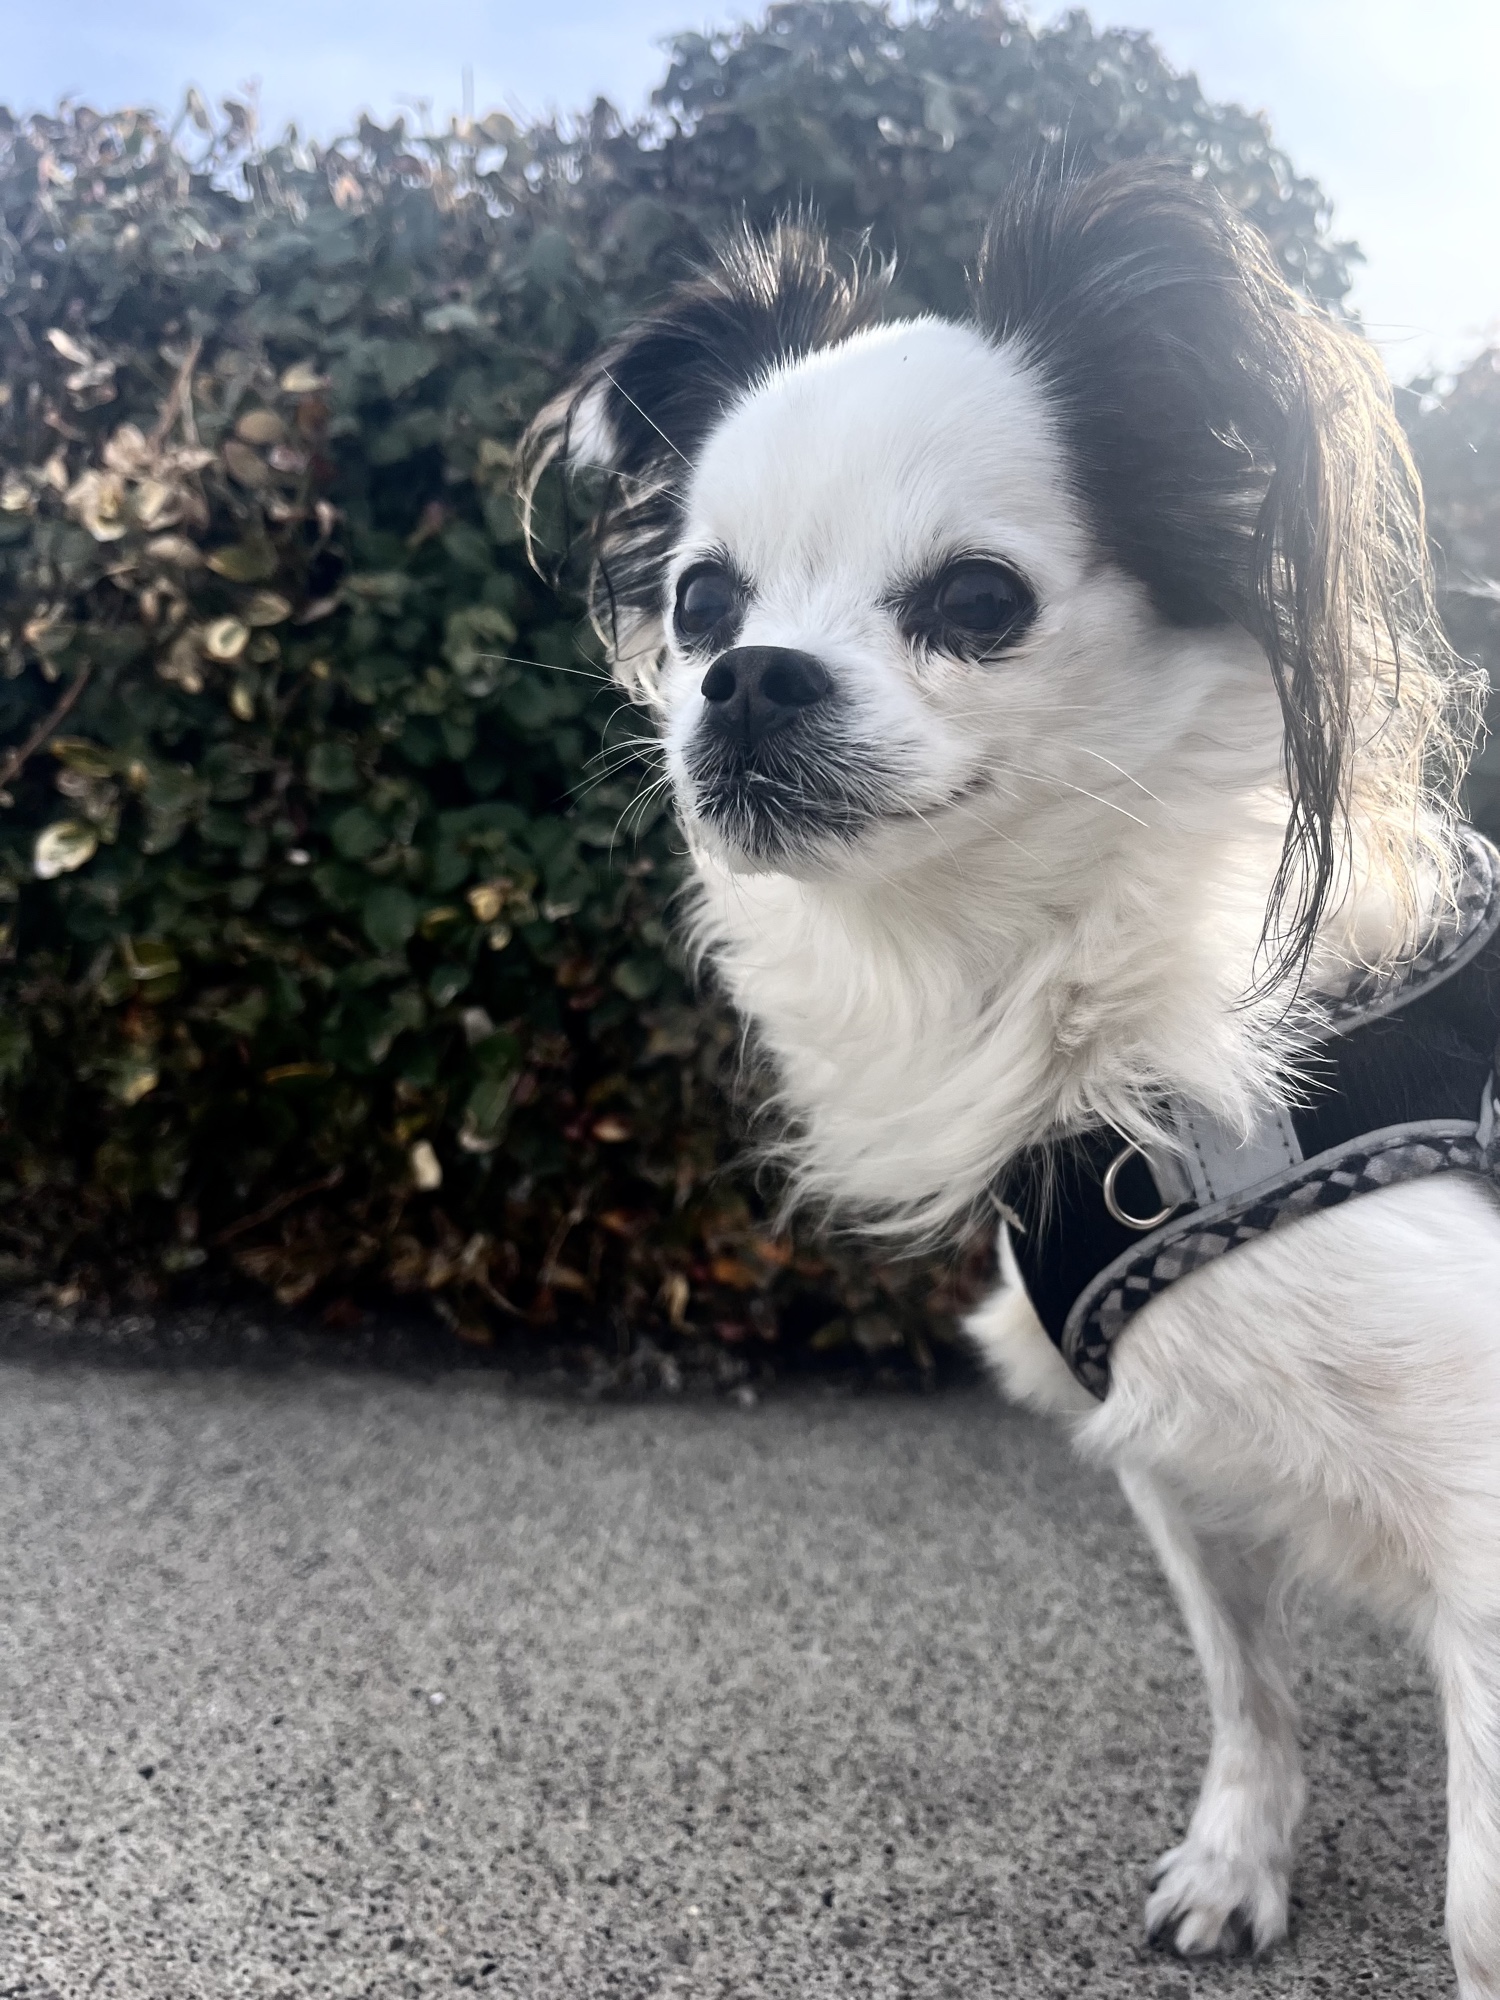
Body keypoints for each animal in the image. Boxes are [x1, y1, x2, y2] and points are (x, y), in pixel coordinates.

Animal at [520, 162, 1500, 1991]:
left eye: (976, 604)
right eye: (702, 605)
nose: (747, 678)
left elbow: (1482, 1902)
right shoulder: (1182, 1453)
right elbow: (1247, 1690)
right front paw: (1238, 1860)